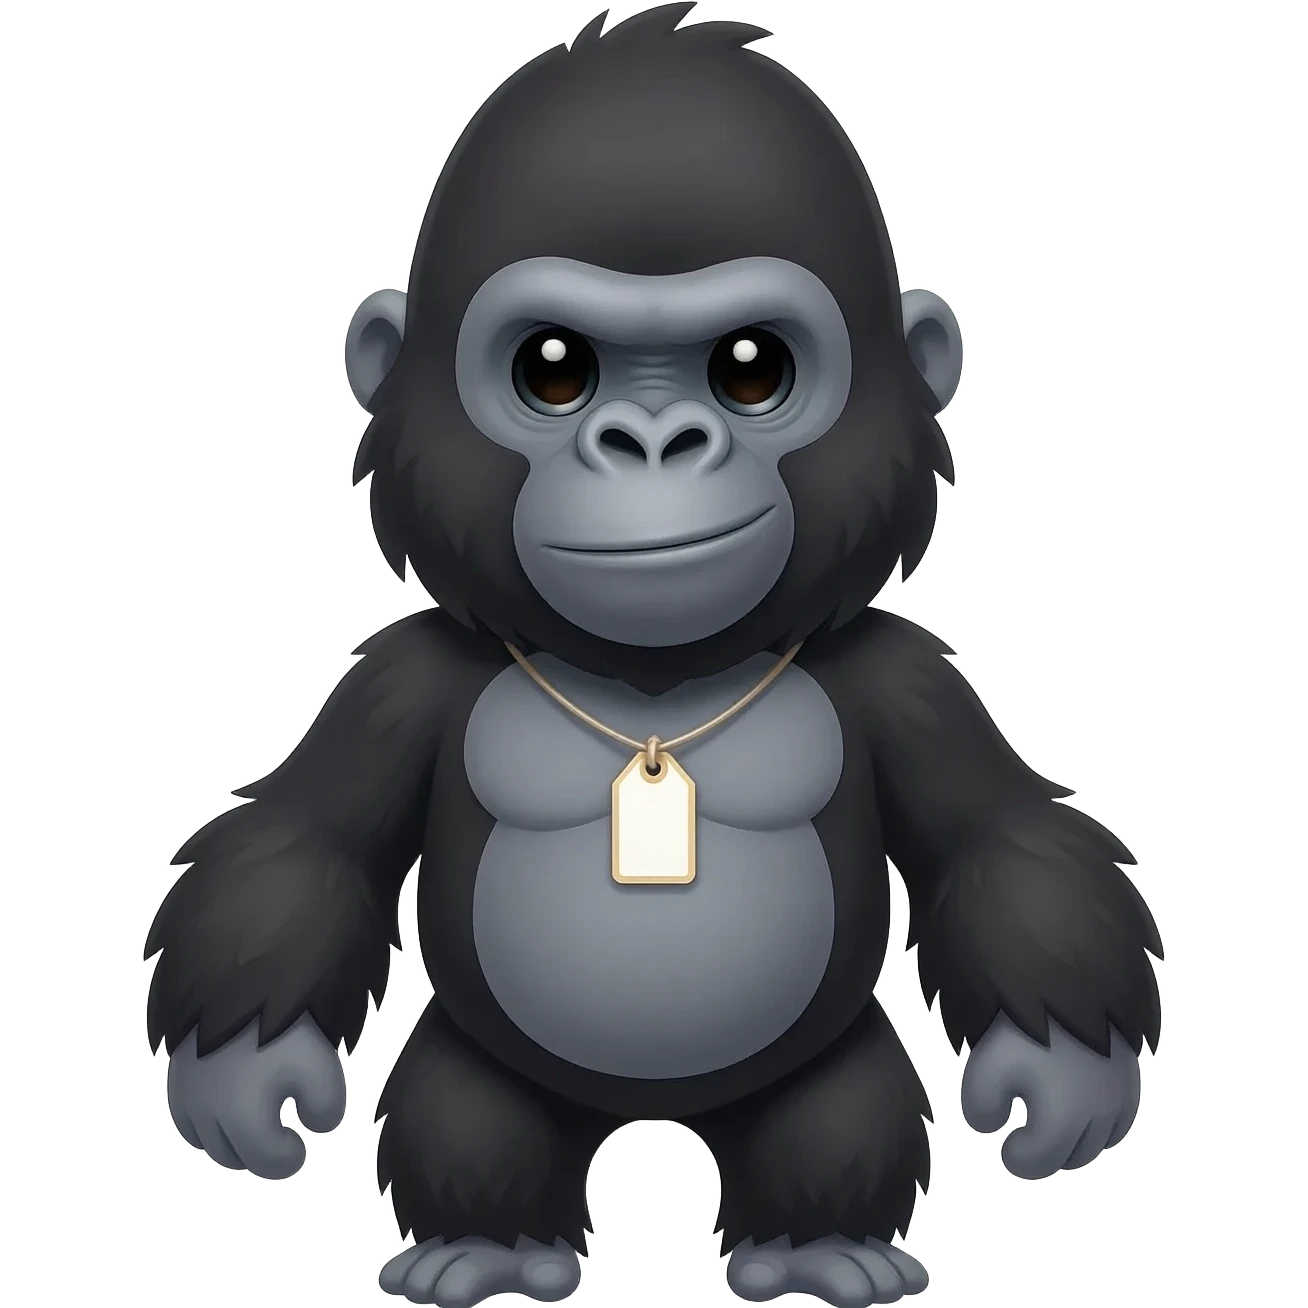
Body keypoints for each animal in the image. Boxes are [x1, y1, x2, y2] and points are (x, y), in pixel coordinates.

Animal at [141, 7, 1165, 1308]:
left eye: (750, 368)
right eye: (555, 368)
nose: (654, 439)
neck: (654, 694)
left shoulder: (910, 679)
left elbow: (995, 836)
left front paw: (1064, 1070)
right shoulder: (397, 680)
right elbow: (309, 838)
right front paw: (242, 1073)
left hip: (820, 1079)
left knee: (837, 1118)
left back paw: (818, 1245)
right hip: (487, 1078)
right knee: (469, 1117)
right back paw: (488, 1245)